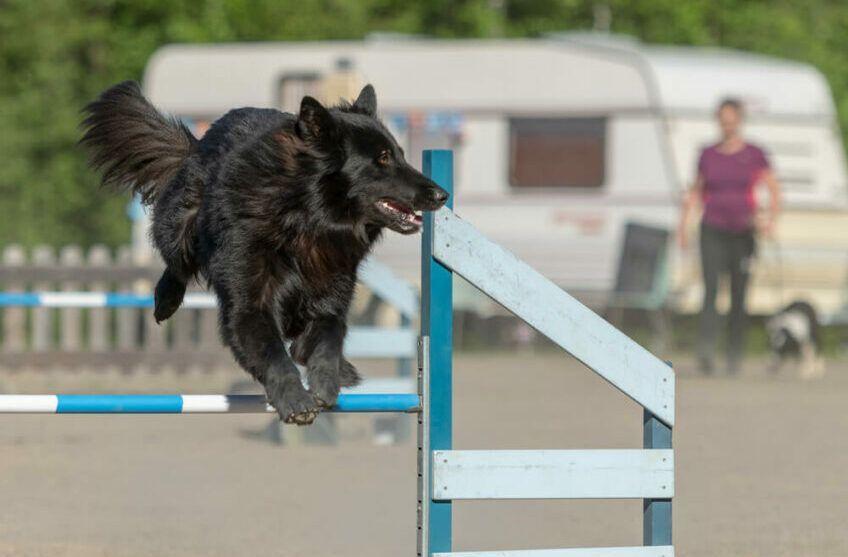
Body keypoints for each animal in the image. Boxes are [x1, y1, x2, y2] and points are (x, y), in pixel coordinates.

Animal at [81, 81, 450, 422]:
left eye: (400, 154)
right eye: (383, 159)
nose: (442, 195)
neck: (305, 219)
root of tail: (201, 141)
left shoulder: (330, 295)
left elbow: (327, 341)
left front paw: (327, 380)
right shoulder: (249, 305)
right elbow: (274, 353)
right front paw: (293, 398)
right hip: (179, 226)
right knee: (176, 260)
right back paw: (166, 298)